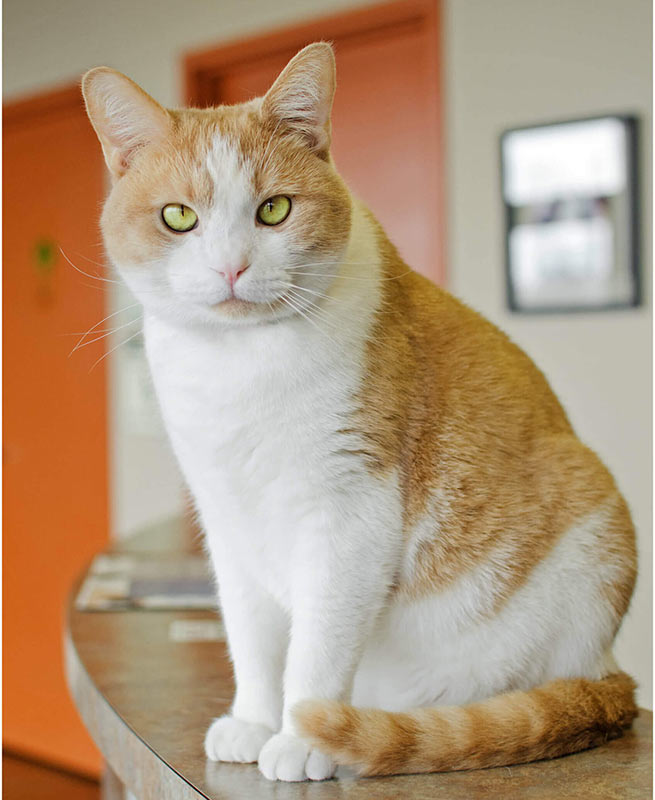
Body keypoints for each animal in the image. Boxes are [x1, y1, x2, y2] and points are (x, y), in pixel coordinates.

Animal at [83, 43, 640, 780]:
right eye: (178, 217)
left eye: (274, 210)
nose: (231, 268)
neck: (239, 366)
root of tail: (609, 674)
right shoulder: (227, 522)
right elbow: (251, 641)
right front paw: (254, 720)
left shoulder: (347, 515)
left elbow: (317, 647)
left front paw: (300, 737)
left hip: (590, 518)